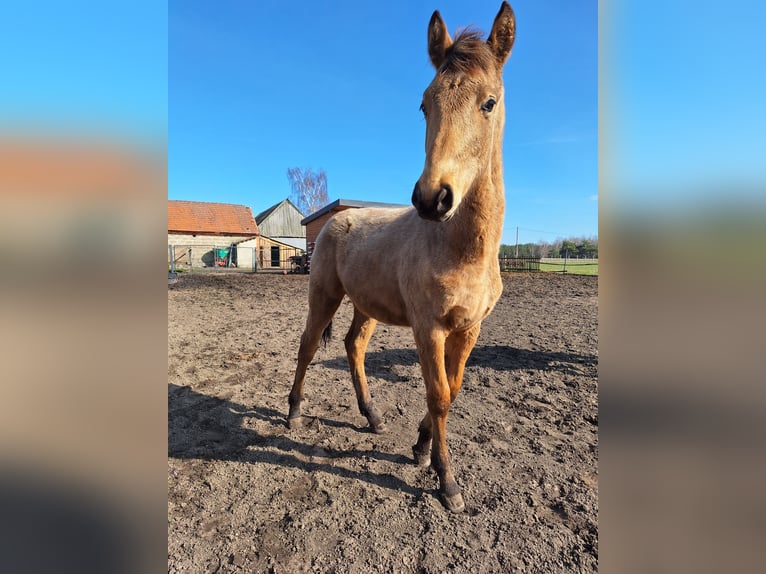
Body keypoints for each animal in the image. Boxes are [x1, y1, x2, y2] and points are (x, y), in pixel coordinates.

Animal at [288, 0, 516, 512]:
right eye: (424, 103)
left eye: (489, 102)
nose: (433, 198)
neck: (459, 250)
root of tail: (334, 221)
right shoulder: (428, 327)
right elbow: (439, 395)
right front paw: (446, 480)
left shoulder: (468, 328)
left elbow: (453, 388)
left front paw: (420, 447)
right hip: (324, 295)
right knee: (309, 345)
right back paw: (292, 413)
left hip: (367, 306)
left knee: (353, 346)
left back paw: (372, 416)